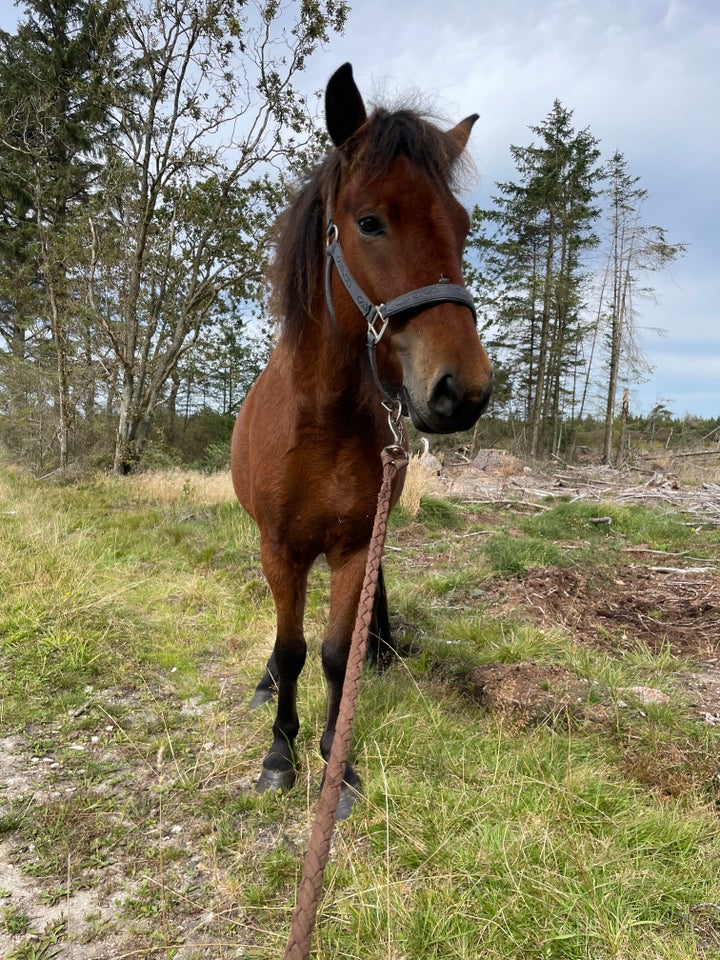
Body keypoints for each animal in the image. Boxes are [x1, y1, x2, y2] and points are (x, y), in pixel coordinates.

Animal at [233, 62, 492, 816]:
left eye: (462, 226)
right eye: (370, 222)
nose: (462, 391)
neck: (319, 419)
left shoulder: (352, 547)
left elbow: (332, 654)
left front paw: (334, 759)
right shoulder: (281, 549)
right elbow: (292, 650)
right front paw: (280, 754)